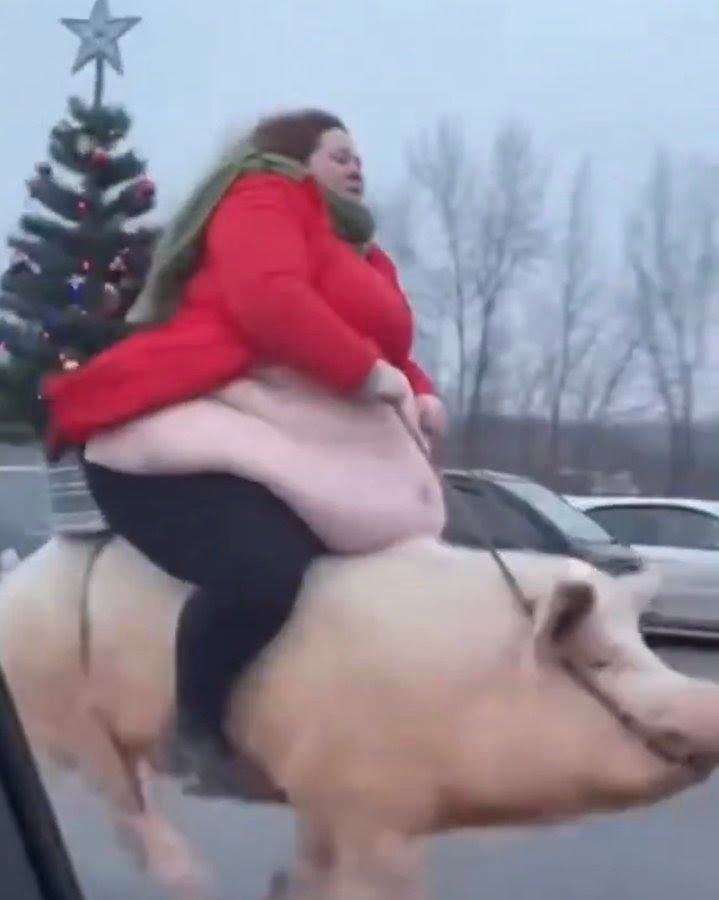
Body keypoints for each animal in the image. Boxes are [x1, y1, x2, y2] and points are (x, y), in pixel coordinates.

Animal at [0, 532, 717, 900]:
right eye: (598, 660)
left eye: (644, 647)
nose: (707, 698)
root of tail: (19, 577)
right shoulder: (372, 803)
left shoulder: (320, 790)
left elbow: (314, 866)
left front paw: (283, 886)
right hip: (65, 704)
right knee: (120, 796)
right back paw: (194, 881)